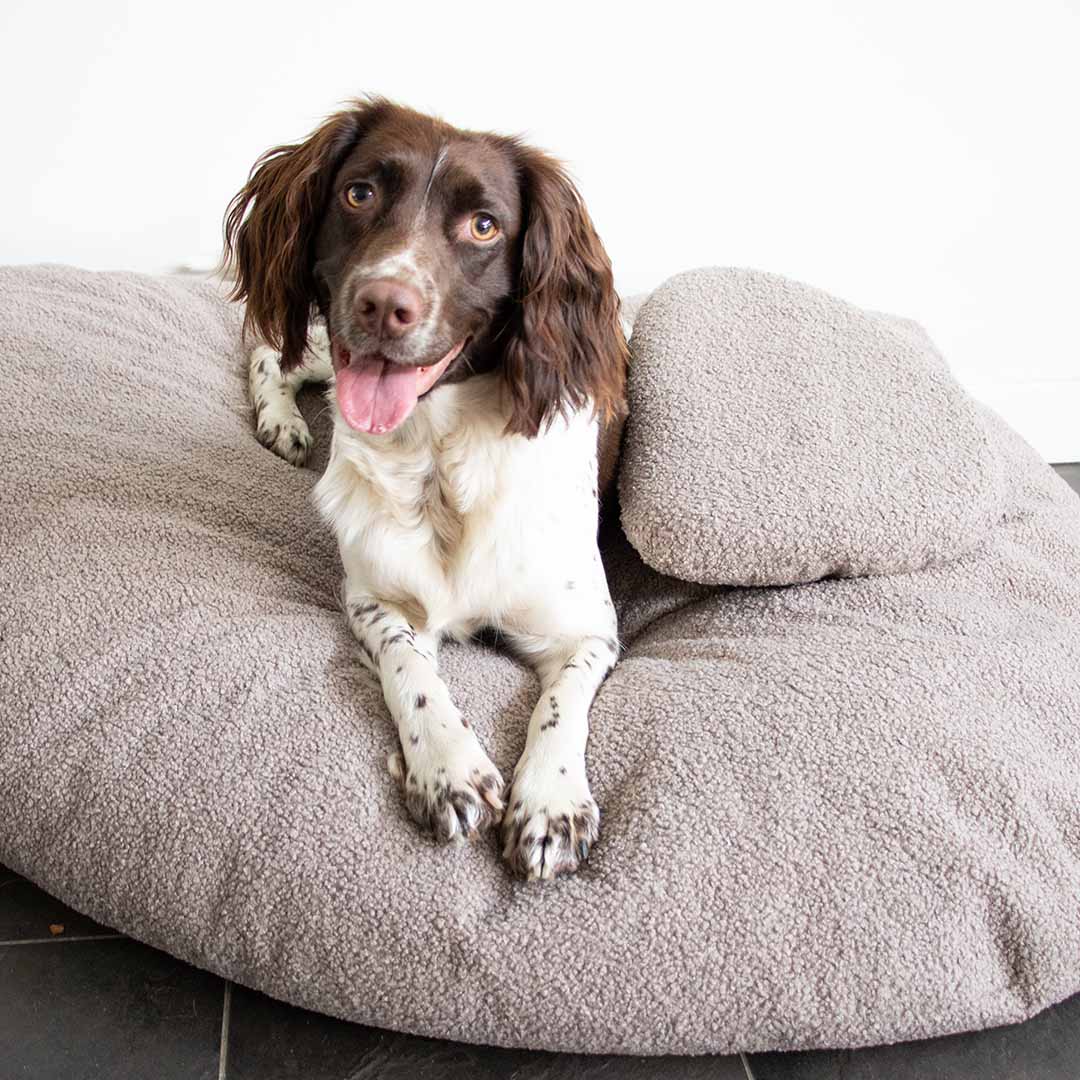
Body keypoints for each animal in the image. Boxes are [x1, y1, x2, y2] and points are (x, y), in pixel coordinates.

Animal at [225, 99, 630, 876]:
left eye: (484, 225)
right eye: (359, 193)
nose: (384, 303)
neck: (439, 459)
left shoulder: (589, 630)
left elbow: (561, 702)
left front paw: (552, 803)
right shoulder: (371, 597)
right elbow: (408, 666)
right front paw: (447, 766)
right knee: (270, 348)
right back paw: (281, 420)